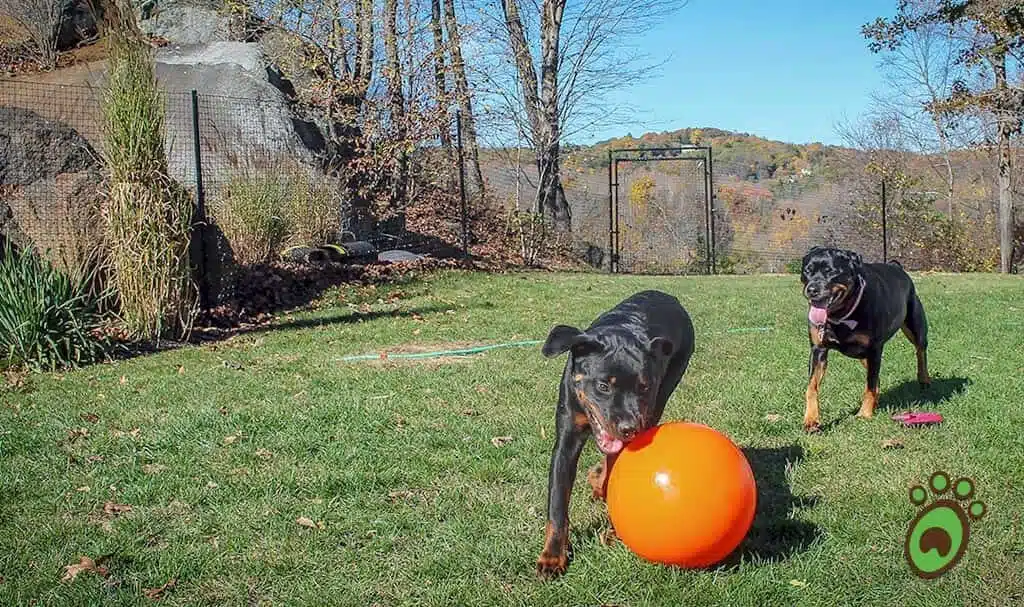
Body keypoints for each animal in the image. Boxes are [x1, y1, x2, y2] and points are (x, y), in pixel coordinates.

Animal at [536, 290, 696, 577]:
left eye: (644, 387)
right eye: (603, 386)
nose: (629, 428)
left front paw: (613, 529)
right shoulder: (566, 438)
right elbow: (557, 506)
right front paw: (553, 557)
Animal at [794, 243, 933, 434]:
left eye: (830, 271)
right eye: (807, 271)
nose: (812, 290)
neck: (841, 315)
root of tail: (896, 267)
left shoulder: (874, 348)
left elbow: (870, 384)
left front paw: (864, 414)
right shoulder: (818, 349)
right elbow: (811, 387)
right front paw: (811, 420)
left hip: (914, 323)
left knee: (920, 351)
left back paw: (924, 379)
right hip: (862, 355)